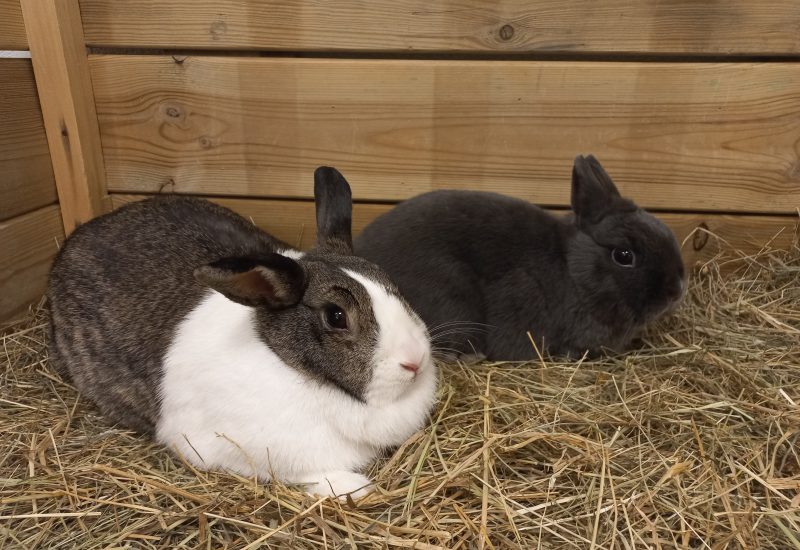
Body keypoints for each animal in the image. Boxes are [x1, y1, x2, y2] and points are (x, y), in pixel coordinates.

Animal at [46, 167, 437, 499]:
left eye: (391, 284)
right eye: (336, 316)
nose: (415, 360)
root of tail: (75, 238)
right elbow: (303, 474)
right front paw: (354, 486)